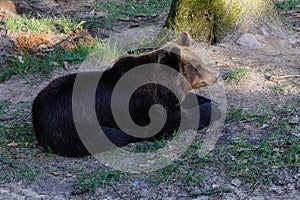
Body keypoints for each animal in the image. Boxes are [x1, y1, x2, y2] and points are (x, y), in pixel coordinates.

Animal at [32, 32, 220, 157]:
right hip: (72, 122)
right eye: (198, 66)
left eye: (201, 61)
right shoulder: (146, 104)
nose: (216, 75)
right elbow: (175, 120)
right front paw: (212, 108)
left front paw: (206, 100)